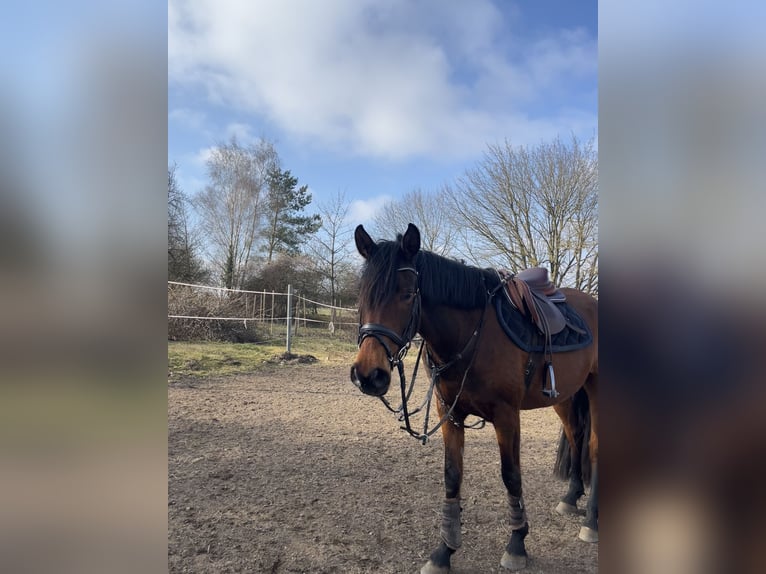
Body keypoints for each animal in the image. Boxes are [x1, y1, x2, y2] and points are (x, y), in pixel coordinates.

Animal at [349, 223, 598, 573]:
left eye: (407, 294)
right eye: (363, 295)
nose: (369, 375)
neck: (471, 335)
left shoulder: (506, 416)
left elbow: (511, 476)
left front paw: (517, 543)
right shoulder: (450, 414)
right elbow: (452, 477)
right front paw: (444, 551)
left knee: (595, 446)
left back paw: (592, 522)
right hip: (565, 395)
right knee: (576, 438)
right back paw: (571, 497)